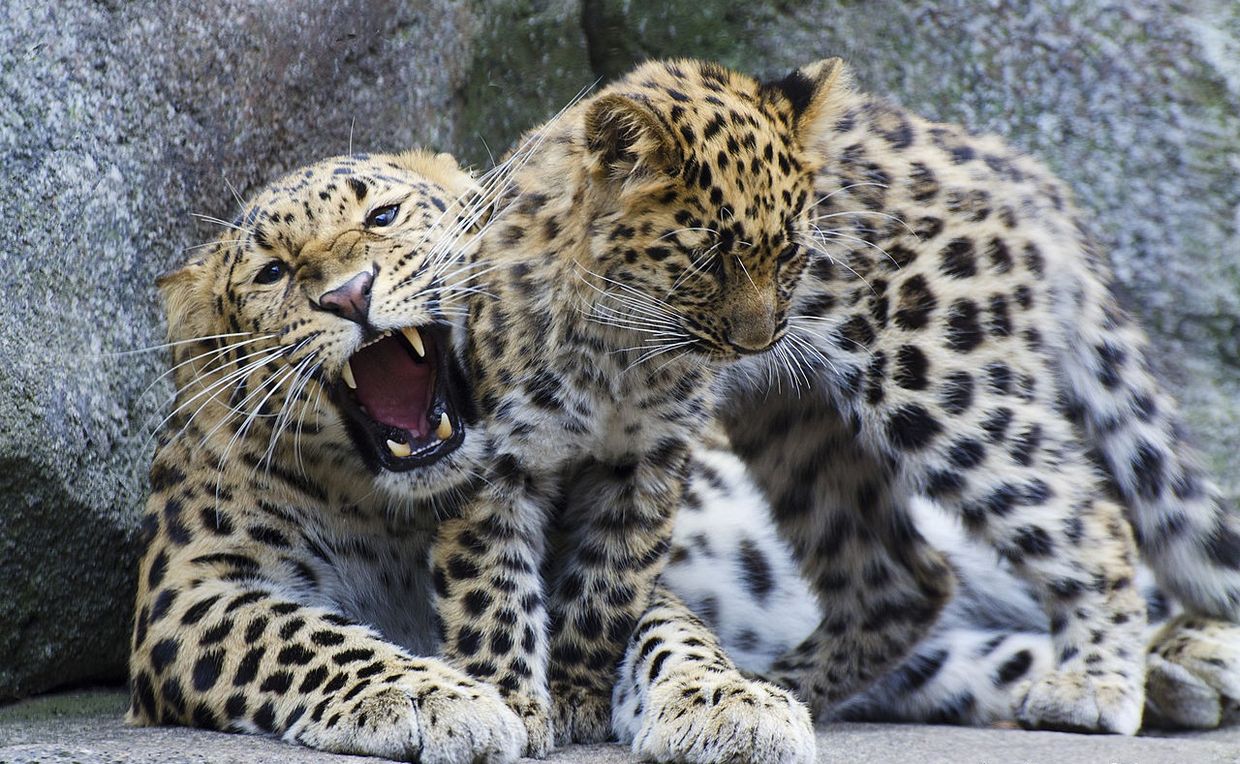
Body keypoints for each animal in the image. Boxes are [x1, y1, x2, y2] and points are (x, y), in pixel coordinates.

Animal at [425, 57, 941, 755]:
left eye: (789, 254)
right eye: (709, 257)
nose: (760, 342)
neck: (620, 354)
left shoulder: (647, 464)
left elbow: (610, 581)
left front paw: (578, 693)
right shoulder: (493, 462)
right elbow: (490, 583)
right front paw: (508, 697)